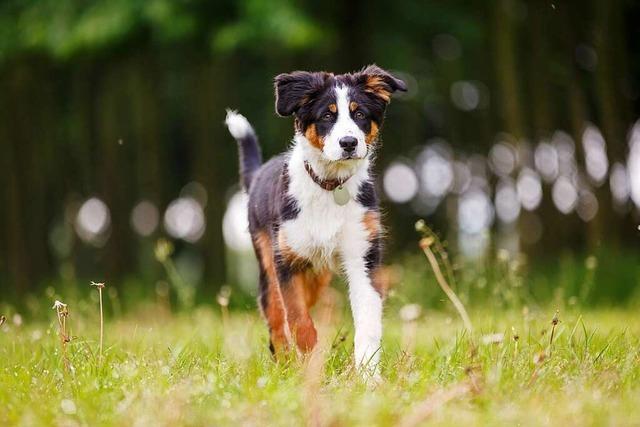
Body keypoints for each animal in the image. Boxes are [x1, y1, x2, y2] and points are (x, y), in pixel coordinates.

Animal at [225, 64, 404, 378]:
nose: (349, 143)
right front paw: (310, 366)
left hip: (317, 275)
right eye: (327, 116)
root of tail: (259, 173)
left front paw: (369, 377)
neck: (330, 186)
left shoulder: (363, 256)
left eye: (359, 114)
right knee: (276, 318)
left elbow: (368, 322)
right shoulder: (286, 261)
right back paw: (284, 364)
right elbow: (297, 319)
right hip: (268, 264)